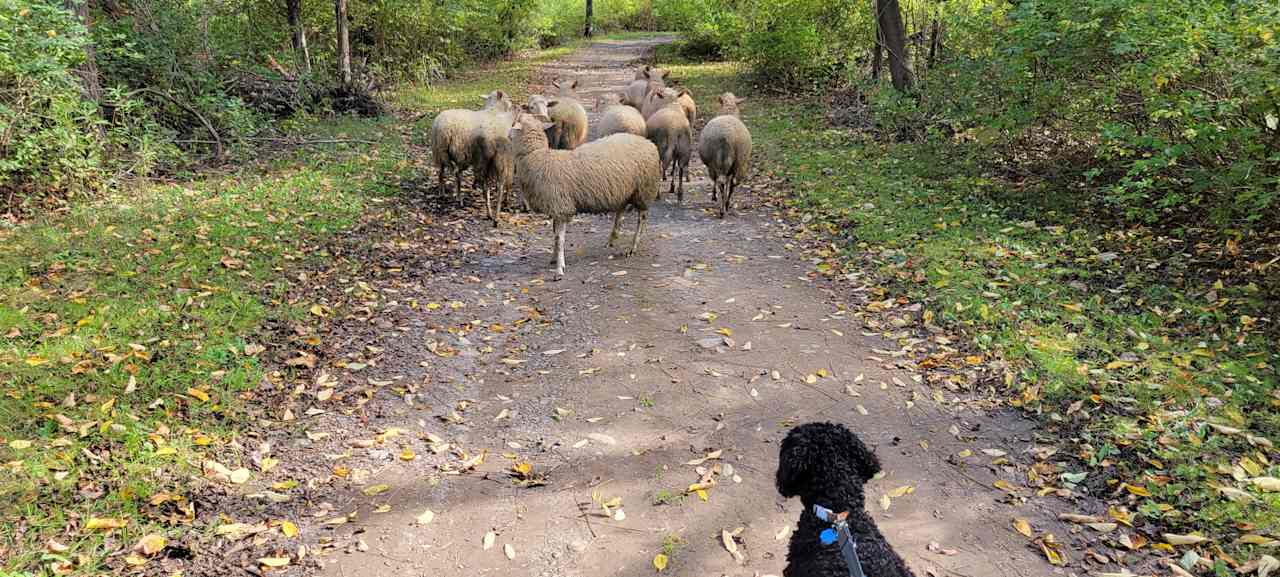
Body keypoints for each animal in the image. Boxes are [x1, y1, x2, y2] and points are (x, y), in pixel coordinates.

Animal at [512, 113, 665, 277]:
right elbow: (555, 237)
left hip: (644, 190)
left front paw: (559, 269)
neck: (536, 156)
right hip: (623, 189)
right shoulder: (556, 208)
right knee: (620, 211)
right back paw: (612, 239)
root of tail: (649, 143)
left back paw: (632, 247)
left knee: (641, 219)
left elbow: (559, 240)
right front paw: (554, 259)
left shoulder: (561, 207)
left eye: (515, 123)